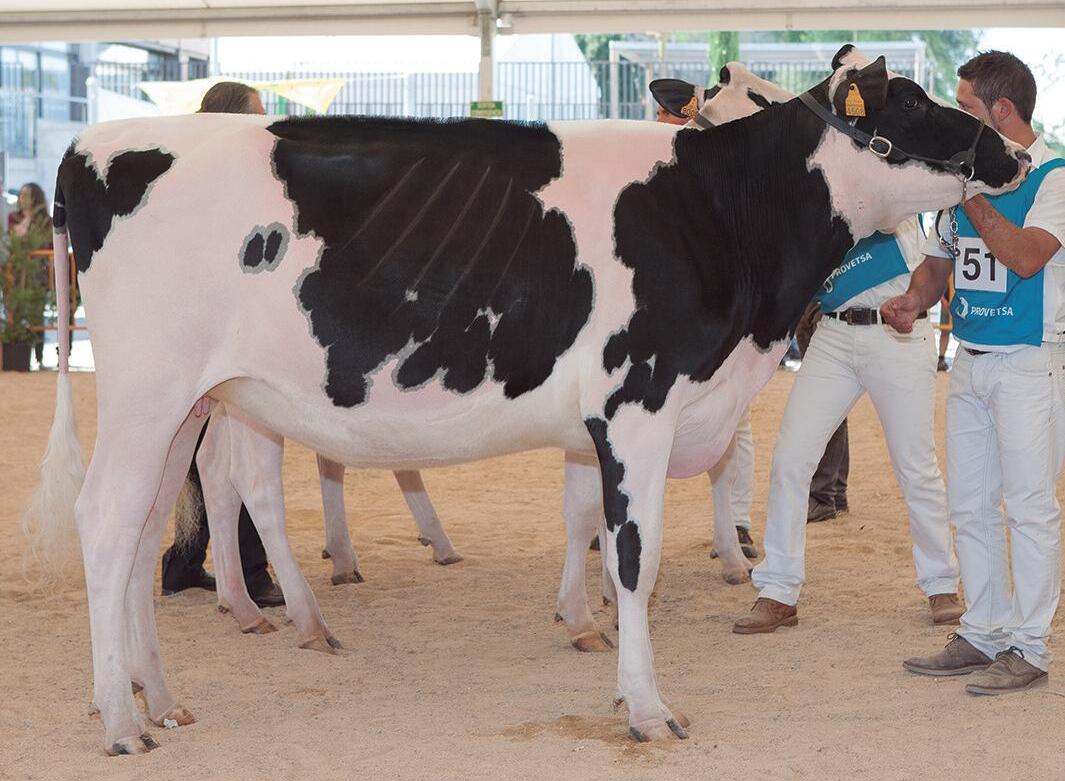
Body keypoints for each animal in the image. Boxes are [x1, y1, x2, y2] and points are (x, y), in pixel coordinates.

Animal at [27, 47, 1029, 753]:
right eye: (911, 102)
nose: (1012, 151)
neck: (721, 209)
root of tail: (92, 146)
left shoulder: (601, 420)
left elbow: (586, 522)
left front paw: (597, 648)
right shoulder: (639, 402)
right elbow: (633, 557)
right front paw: (648, 708)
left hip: (188, 407)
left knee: (143, 532)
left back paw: (163, 699)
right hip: (148, 392)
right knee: (107, 521)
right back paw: (120, 719)